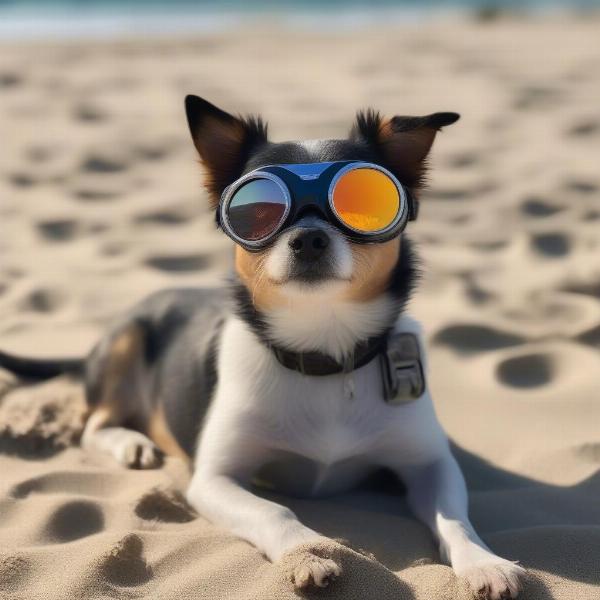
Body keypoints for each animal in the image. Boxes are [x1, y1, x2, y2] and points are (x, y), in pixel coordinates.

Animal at [0, 95, 524, 600]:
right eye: (256, 210)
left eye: (365, 201)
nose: (308, 238)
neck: (324, 352)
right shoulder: (214, 479)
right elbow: (275, 512)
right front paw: (309, 555)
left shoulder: (430, 464)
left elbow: (456, 519)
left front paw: (485, 563)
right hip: (126, 338)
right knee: (94, 424)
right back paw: (133, 443)